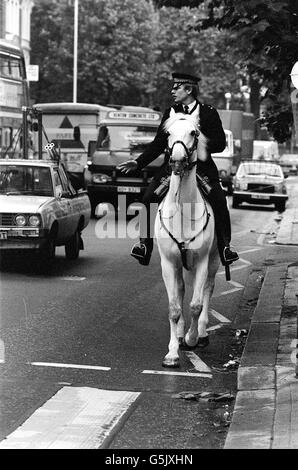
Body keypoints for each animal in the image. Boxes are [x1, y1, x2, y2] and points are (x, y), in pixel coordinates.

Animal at [155, 113, 220, 368]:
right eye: (168, 133)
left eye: (194, 132)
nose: (177, 160)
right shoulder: (168, 262)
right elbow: (174, 308)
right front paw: (172, 353)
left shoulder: (201, 260)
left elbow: (196, 305)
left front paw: (192, 339)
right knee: (182, 289)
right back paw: (182, 335)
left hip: (213, 260)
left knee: (207, 289)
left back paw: (200, 334)